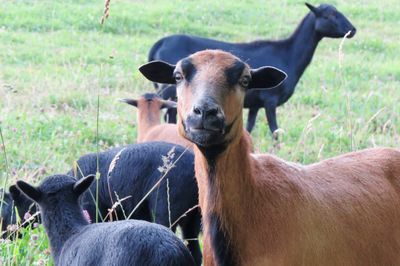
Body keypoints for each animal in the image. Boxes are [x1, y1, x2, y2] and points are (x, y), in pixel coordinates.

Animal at [148, 2, 356, 134]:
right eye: (329, 15)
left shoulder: (256, 103)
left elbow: (249, 128)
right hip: (168, 90)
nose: (352, 30)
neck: (288, 55)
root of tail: (160, 43)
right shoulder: (270, 99)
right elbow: (275, 131)